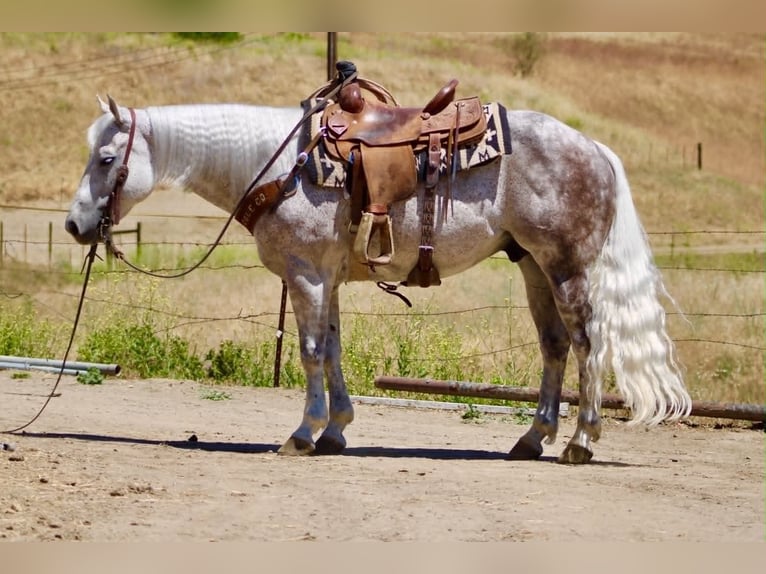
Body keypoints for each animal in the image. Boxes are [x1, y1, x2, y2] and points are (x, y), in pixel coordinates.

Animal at [65, 91, 691, 464]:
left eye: (105, 159)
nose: (74, 224)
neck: (281, 167)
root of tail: (594, 148)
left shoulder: (305, 275)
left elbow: (311, 352)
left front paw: (304, 433)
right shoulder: (327, 278)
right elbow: (333, 348)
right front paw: (336, 430)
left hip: (566, 267)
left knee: (589, 345)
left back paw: (581, 441)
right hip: (534, 265)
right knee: (555, 346)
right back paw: (532, 438)